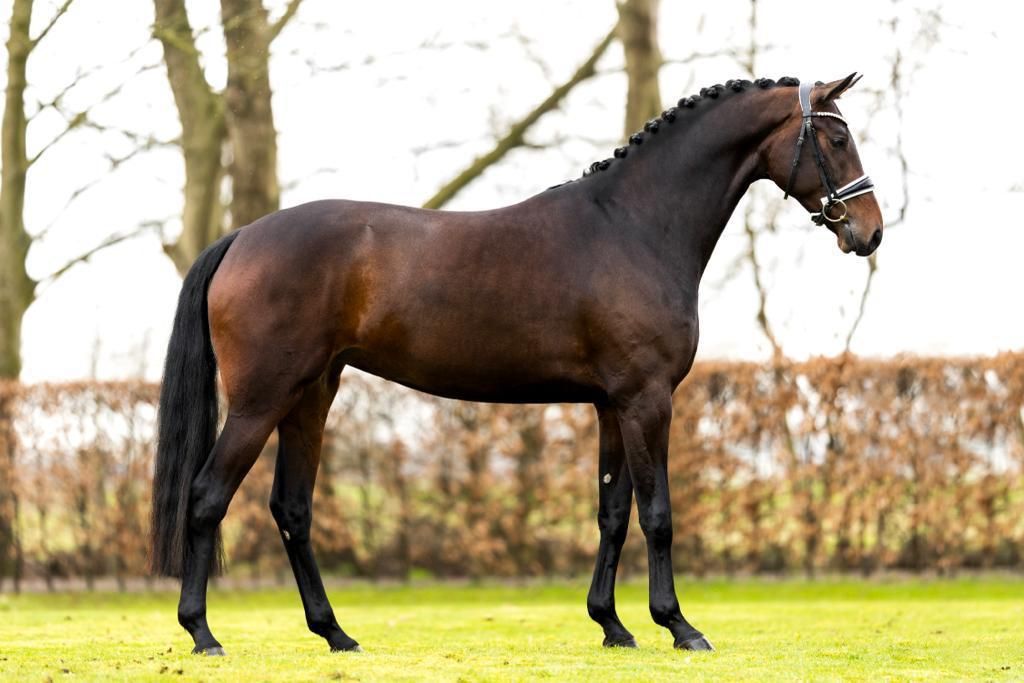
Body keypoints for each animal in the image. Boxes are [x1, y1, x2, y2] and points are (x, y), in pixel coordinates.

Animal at [150, 73, 882, 655]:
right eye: (835, 138)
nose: (869, 231)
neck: (633, 225)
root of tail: (243, 236)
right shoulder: (647, 399)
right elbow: (658, 513)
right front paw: (679, 625)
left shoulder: (613, 404)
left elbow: (612, 512)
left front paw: (613, 626)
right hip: (261, 400)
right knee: (207, 497)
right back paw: (203, 633)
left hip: (311, 395)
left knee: (292, 509)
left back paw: (335, 633)